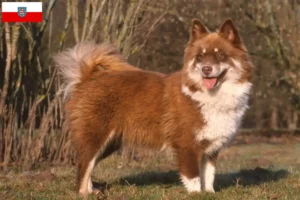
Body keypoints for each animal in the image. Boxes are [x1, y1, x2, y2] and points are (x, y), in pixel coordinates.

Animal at [54, 18, 253, 196]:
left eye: (220, 55)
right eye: (200, 57)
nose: (206, 69)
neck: (208, 95)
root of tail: (87, 78)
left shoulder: (211, 147)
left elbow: (209, 175)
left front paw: (210, 193)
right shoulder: (187, 145)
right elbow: (194, 177)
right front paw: (197, 194)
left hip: (109, 142)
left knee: (89, 163)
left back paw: (92, 190)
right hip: (96, 135)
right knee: (83, 165)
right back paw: (84, 193)